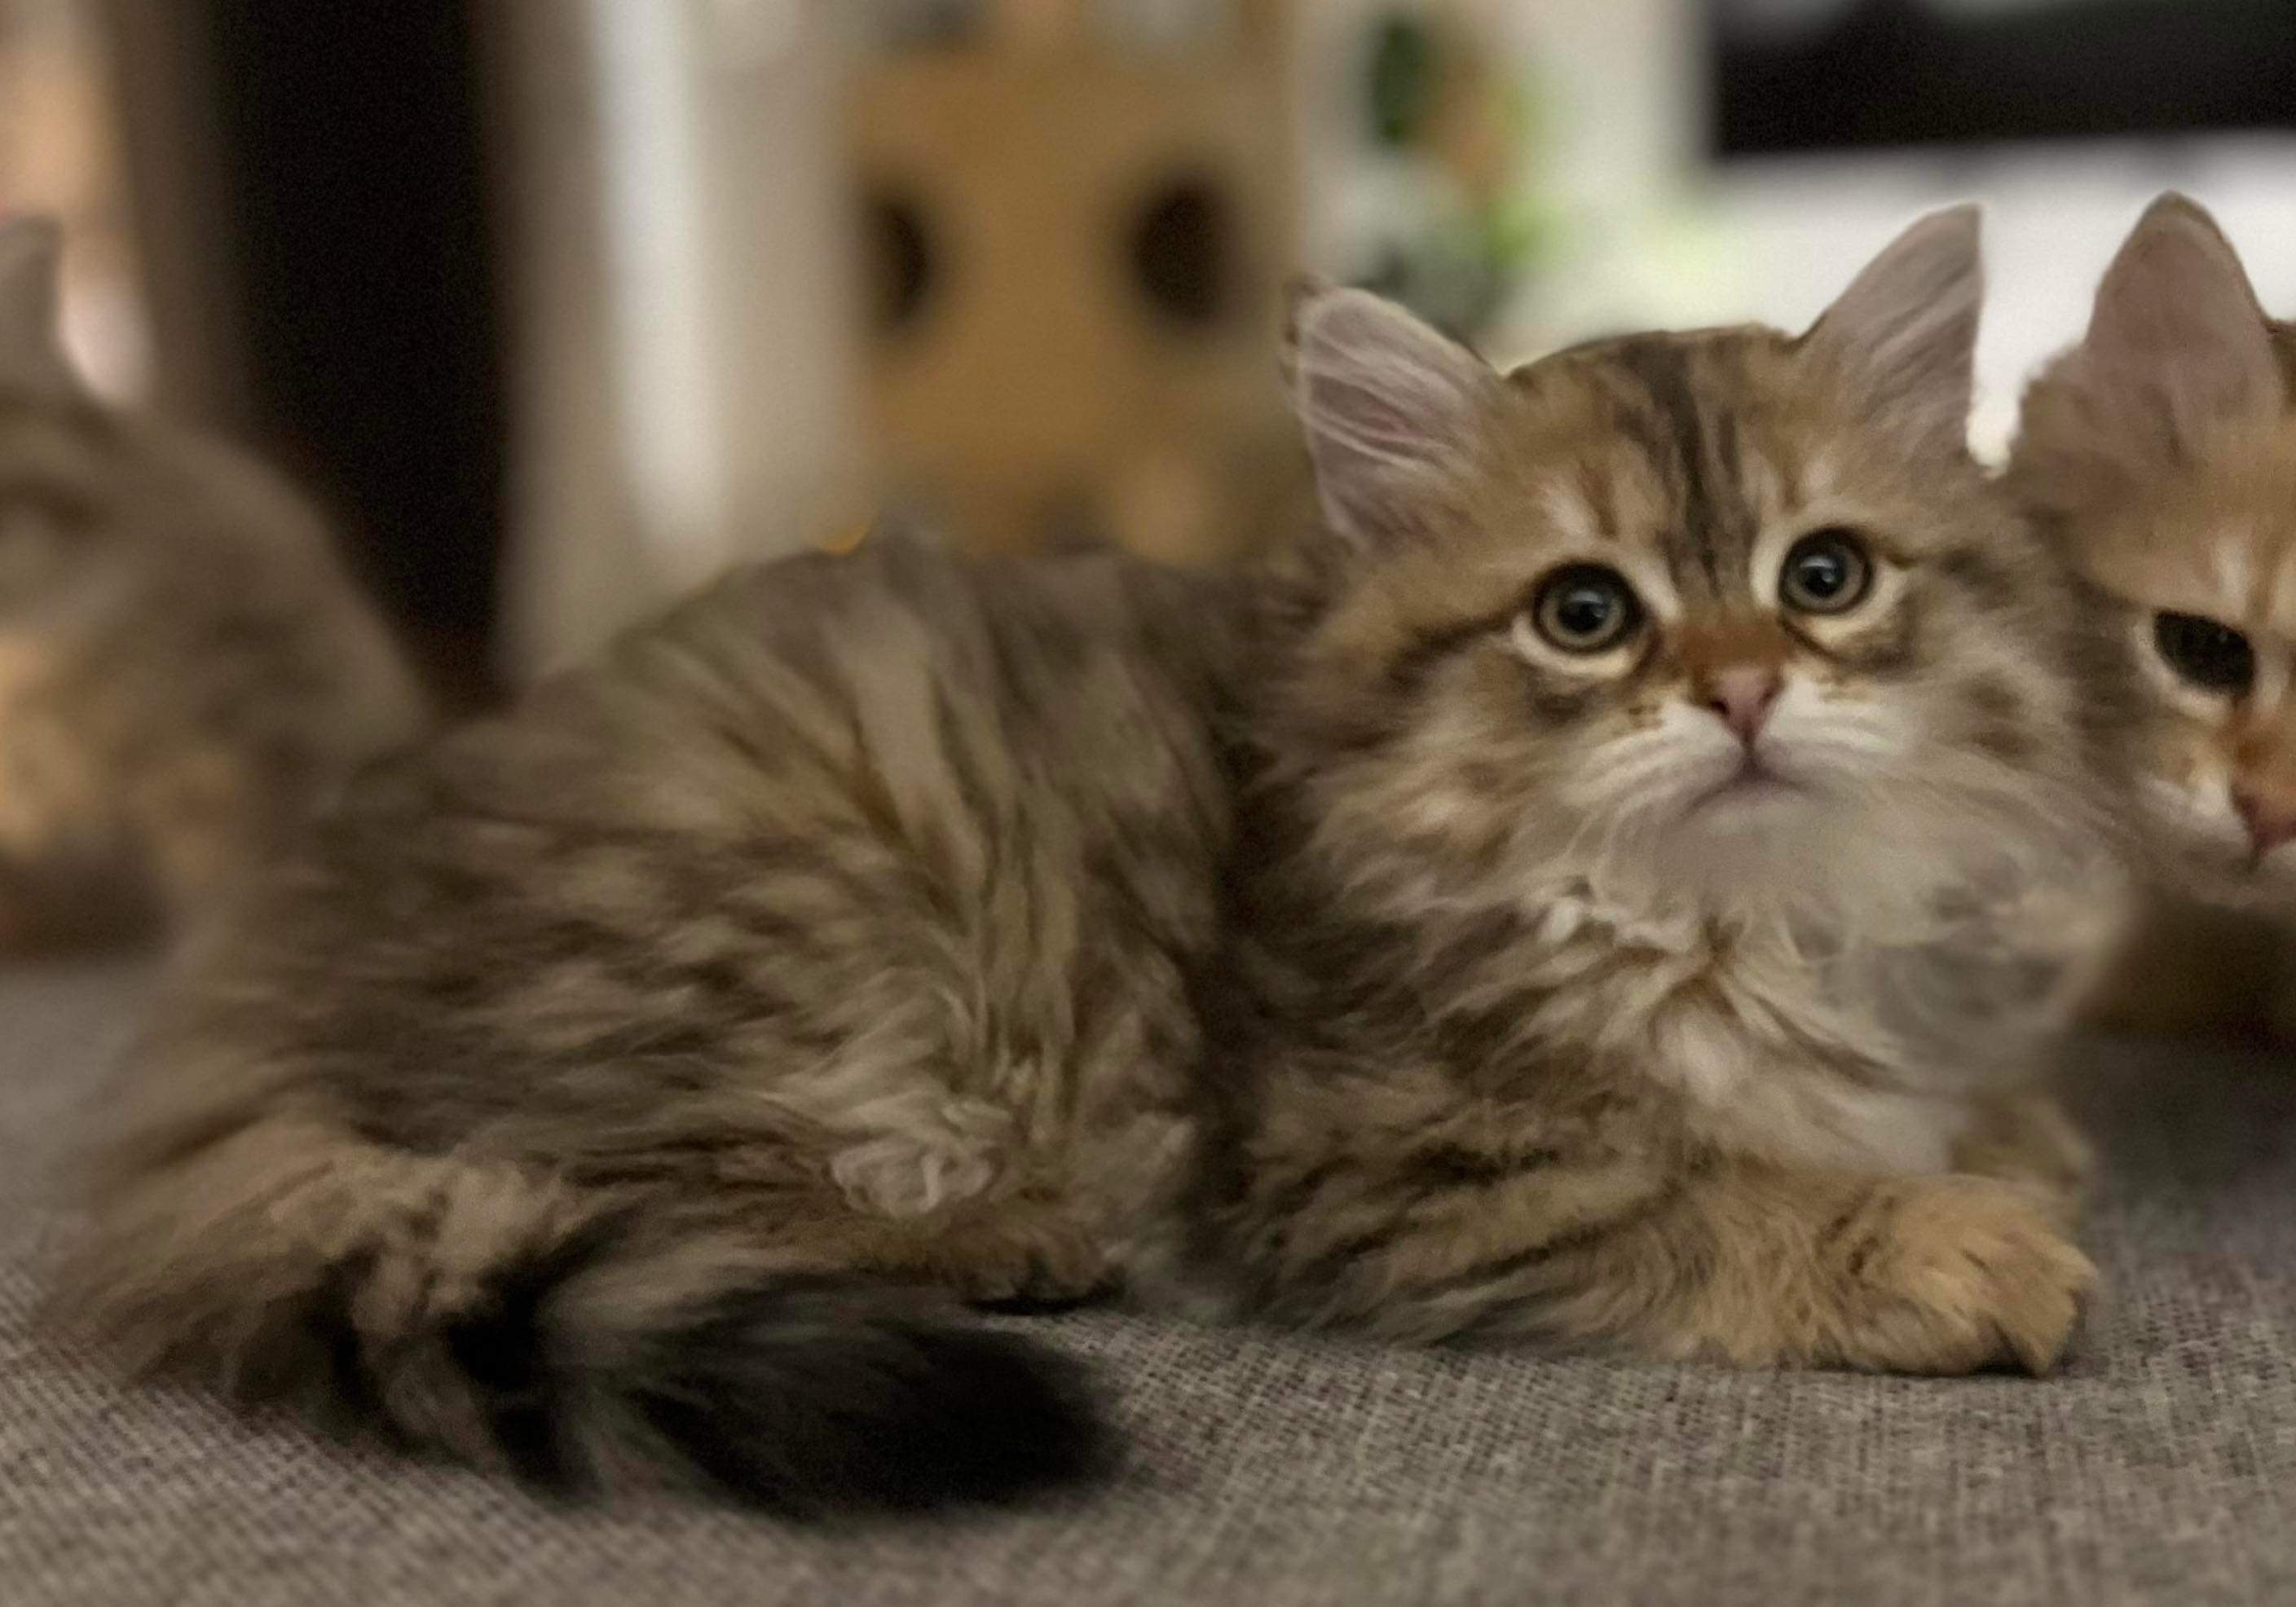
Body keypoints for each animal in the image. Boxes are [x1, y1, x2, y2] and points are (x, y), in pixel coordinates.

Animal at [58, 207, 2121, 1519]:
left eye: (1821, 575)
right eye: (1585, 613)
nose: (1747, 689)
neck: (1731, 909)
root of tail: (268, 955)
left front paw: (2000, 1127)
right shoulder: (1380, 1162)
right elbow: (1713, 1185)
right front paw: (1948, 1238)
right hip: (808, 904)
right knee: (604, 1169)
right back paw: (998, 1227)